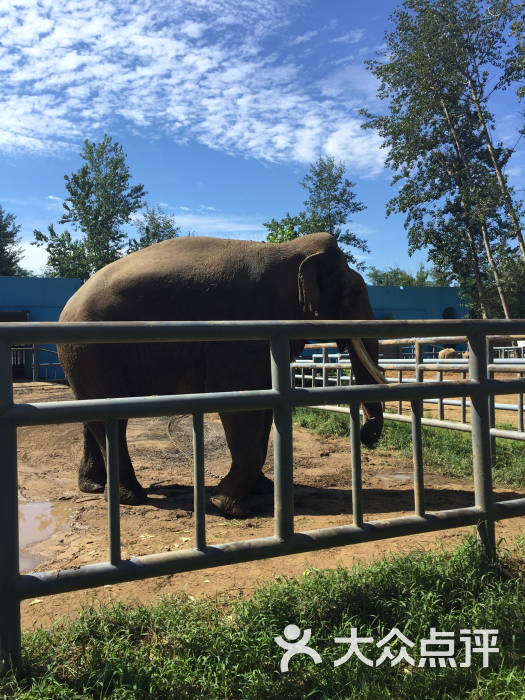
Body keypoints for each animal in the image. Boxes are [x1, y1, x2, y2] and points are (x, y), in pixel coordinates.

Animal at [58, 232, 384, 516]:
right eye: (355, 292)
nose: (366, 436)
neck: (290, 250)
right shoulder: (243, 329)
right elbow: (240, 403)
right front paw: (229, 508)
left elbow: (264, 404)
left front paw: (261, 490)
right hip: (91, 350)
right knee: (113, 416)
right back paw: (131, 498)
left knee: (94, 411)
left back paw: (92, 487)